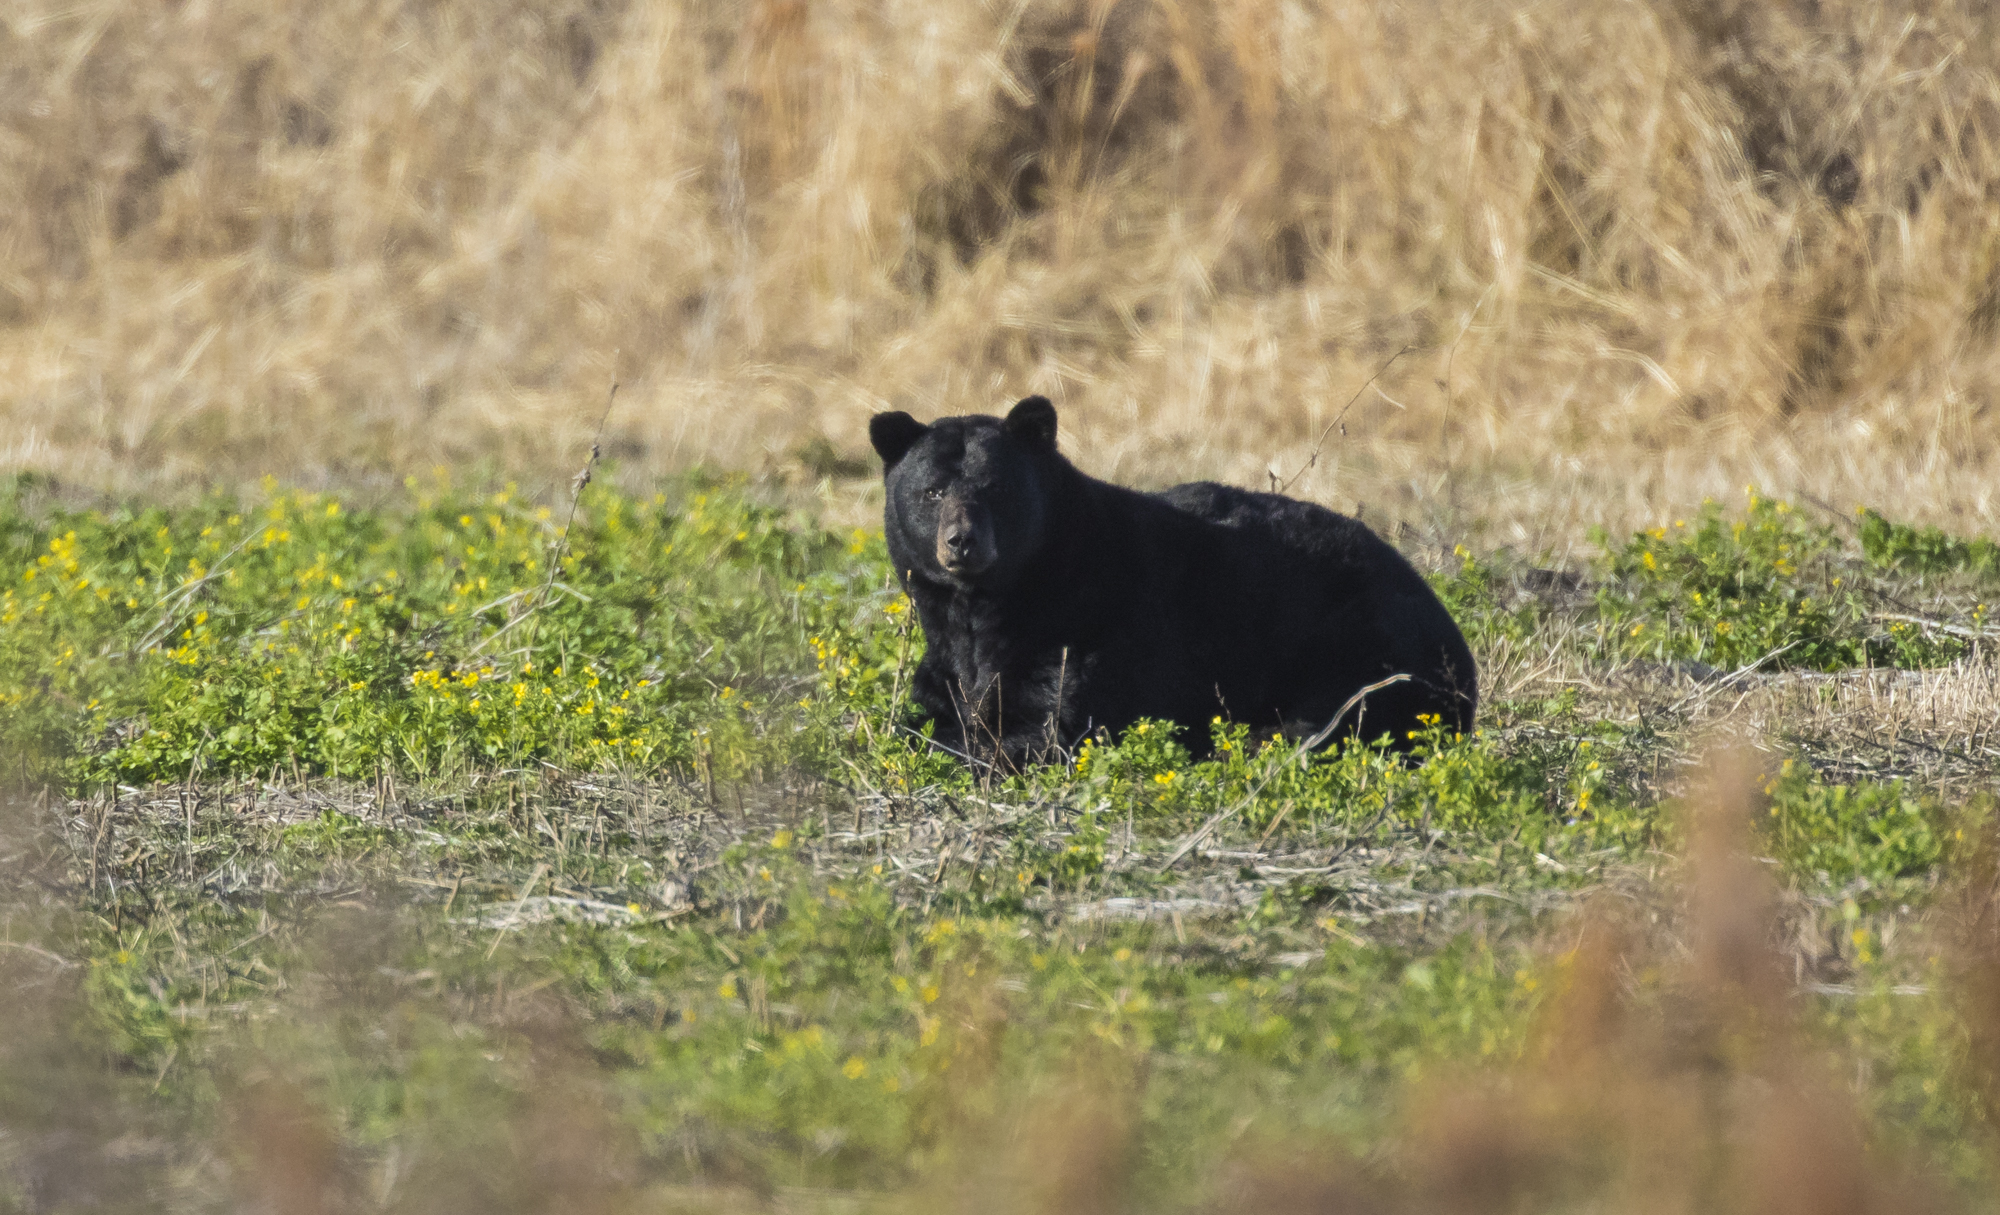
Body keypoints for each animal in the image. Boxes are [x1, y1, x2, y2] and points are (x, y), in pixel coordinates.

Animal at [869, 396, 1477, 768]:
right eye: (931, 492)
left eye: (995, 487)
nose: (961, 542)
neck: (989, 605)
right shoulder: (949, 652)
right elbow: (930, 706)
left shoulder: (1088, 626)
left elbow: (1058, 722)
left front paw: (970, 743)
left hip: (1362, 637)